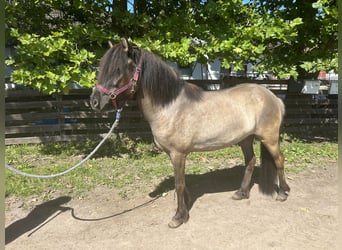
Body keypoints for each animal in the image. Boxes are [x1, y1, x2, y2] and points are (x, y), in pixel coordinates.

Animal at [89, 38, 290, 229]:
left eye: (117, 69)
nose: (94, 102)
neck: (170, 107)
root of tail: (274, 97)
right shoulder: (176, 155)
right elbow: (183, 184)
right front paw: (185, 208)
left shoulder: (178, 154)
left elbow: (178, 184)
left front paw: (178, 217)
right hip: (246, 139)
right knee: (250, 161)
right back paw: (241, 193)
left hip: (270, 139)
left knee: (279, 160)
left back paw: (282, 193)